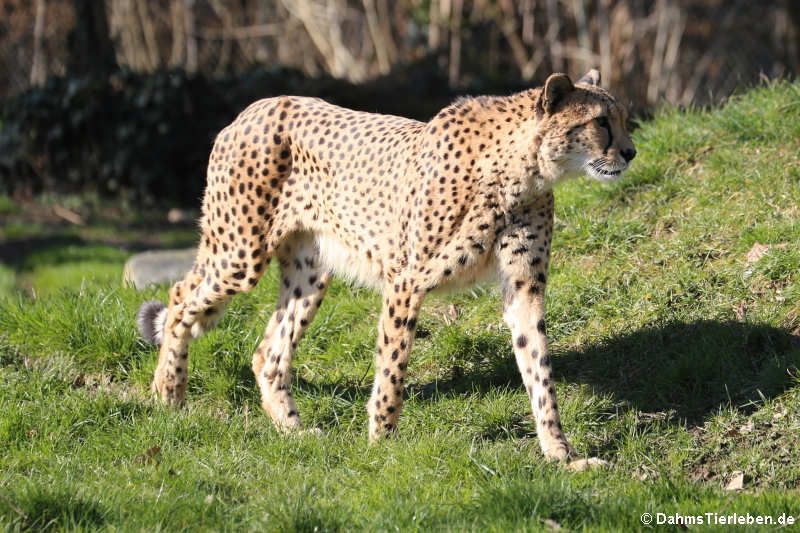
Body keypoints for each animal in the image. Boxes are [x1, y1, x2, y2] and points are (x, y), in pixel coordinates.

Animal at [139, 69, 636, 466]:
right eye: (600, 122)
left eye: (624, 118)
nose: (631, 152)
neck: (523, 169)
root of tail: (258, 106)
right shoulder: (406, 281)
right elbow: (393, 366)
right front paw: (382, 443)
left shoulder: (524, 288)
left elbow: (538, 367)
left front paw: (562, 454)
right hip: (240, 255)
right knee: (180, 298)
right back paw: (169, 393)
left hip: (309, 272)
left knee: (267, 352)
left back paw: (293, 429)